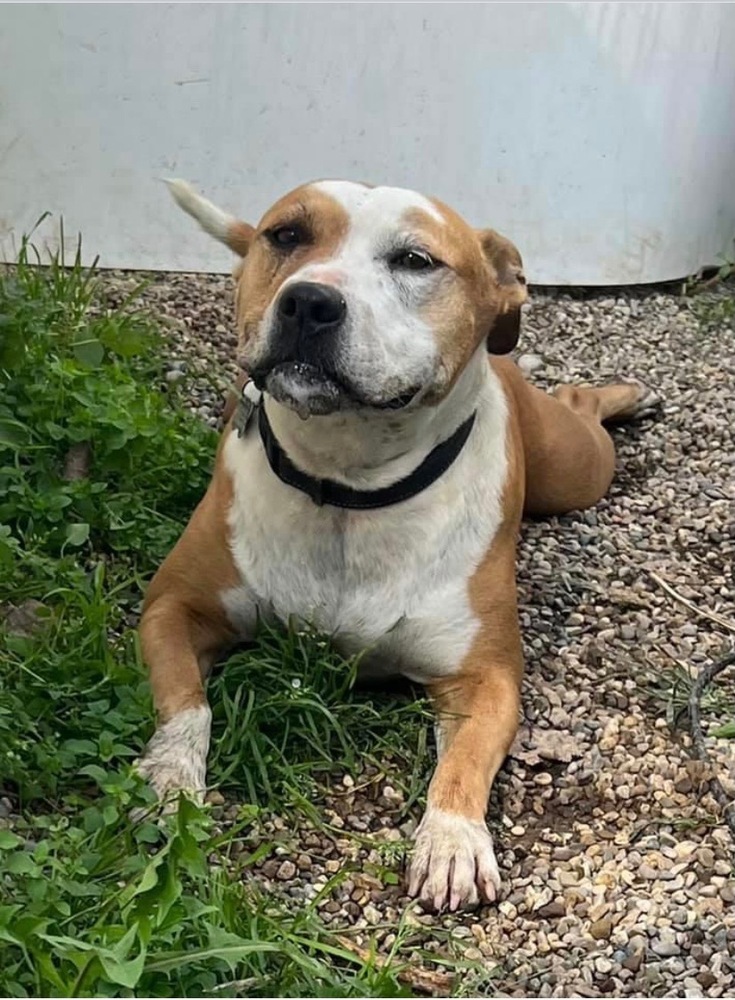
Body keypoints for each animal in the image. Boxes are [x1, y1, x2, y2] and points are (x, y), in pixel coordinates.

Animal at [138, 176, 656, 912]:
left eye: (415, 260)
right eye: (286, 235)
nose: (309, 300)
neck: (347, 486)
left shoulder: (485, 677)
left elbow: (462, 764)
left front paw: (451, 841)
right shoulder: (173, 609)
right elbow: (186, 704)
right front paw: (170, 781)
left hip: (575, 468)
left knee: (580, 405)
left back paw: (623, 396)